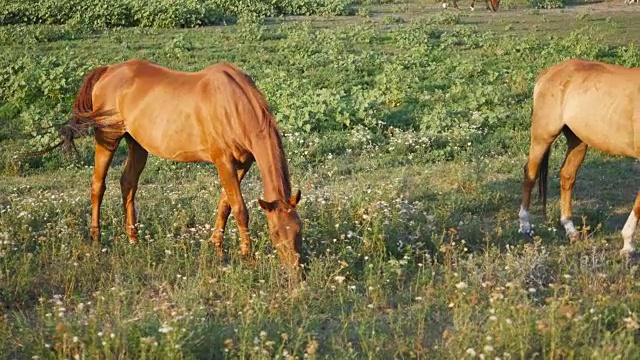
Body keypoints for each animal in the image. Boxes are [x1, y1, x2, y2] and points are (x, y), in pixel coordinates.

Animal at [54, 58, 302, 268]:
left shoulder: (242, 164)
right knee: (98, 185)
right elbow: (240, 209)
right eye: (275, 233)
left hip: (137, 145)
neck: (233, 105)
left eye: (299, 229)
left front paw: (217, 248)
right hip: (107, 139)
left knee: (128, 184)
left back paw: (133, 238)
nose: (296, 270)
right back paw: (96, 237)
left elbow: (225, 204)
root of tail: (108, 70)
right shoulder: (223, 161)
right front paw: (245, 256)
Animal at [520, 58, 640, 256]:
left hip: (578, 141)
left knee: (567, 176)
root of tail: (550, 71)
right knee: (530, 174)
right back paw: (524, 225)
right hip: (542, 136)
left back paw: (570, 229)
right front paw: (628, 244)